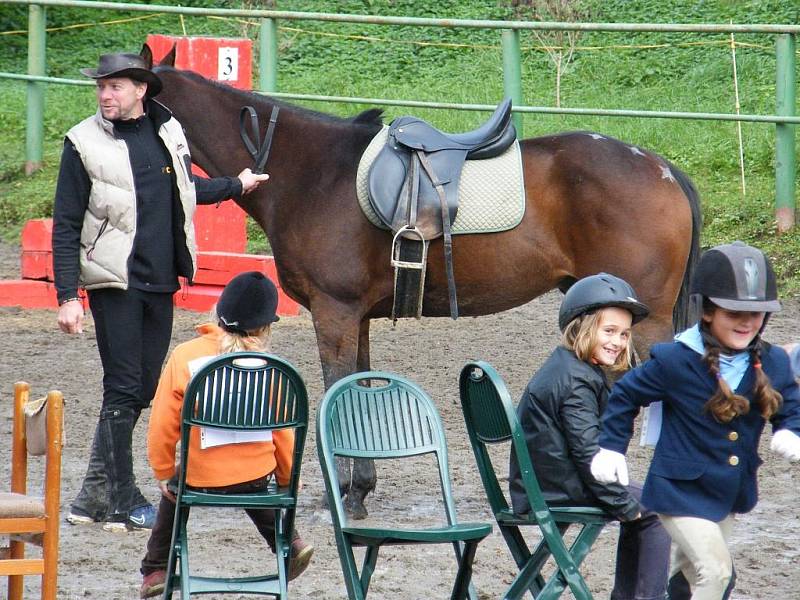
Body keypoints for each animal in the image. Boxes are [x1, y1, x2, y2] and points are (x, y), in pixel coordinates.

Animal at [150, 45, 700, 520]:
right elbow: (355, 391)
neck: (311, 175)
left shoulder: (334, 313)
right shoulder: (355, 319)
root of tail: (661, 168)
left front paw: (344, 494)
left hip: (644, 322)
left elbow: (335, 390)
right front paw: (359, 489)